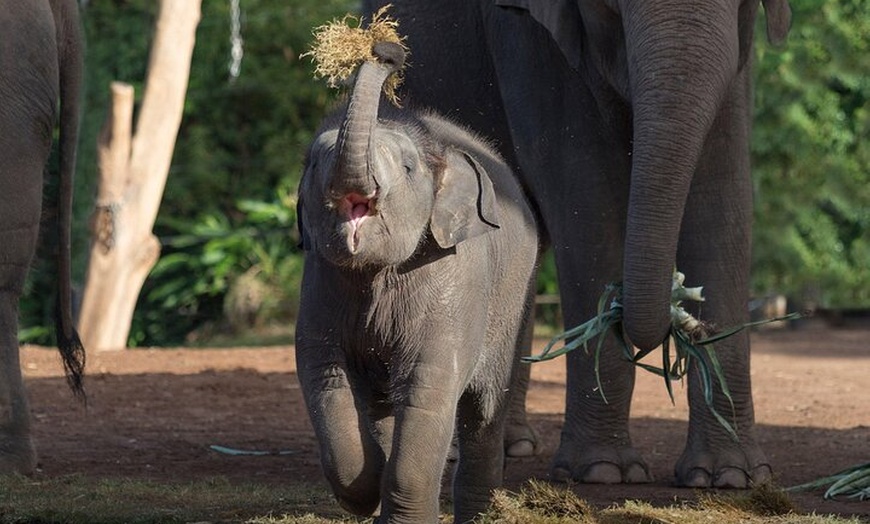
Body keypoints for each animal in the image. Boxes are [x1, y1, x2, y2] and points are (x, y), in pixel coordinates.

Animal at [298, 42, 540, 524]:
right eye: (314, 163)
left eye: (408, 168)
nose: (386, 50)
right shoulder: (320, 279)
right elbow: (324, 374)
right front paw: (366, 489)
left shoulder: (452, 279)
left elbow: (429, 382)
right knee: (380, 406)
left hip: (514, 299)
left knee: (485, 410)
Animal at [362, 1, 792, 492]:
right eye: (612, 9)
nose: (681, 325)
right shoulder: (531, 39)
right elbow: (589, 200)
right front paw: (604, 471)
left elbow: (721, 200)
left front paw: (729, 477)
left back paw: (512, 444)